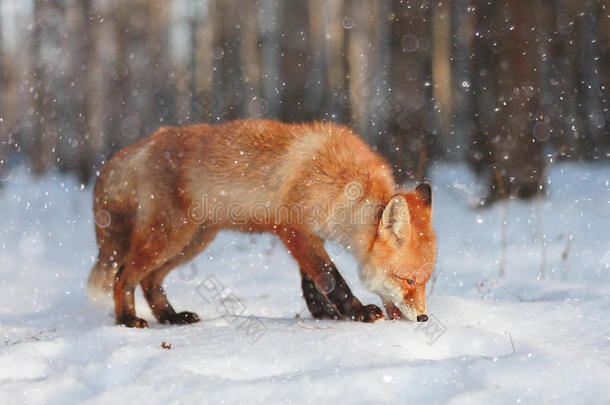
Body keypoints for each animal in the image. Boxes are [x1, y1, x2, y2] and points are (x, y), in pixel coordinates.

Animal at [88, 118, 434, 326]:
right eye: (408, 280)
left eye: (426, 281)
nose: (423, 319)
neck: (341, 182)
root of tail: (140, 146)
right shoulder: (293, 230)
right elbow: (329, 277)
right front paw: (355, 311)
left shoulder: (309, 236)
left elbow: (310, 282)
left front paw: (324, 314)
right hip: (170, 237)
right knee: (122, 275)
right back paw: (126, 320)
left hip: (193, 242)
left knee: (150, 281)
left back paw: (171, 317)